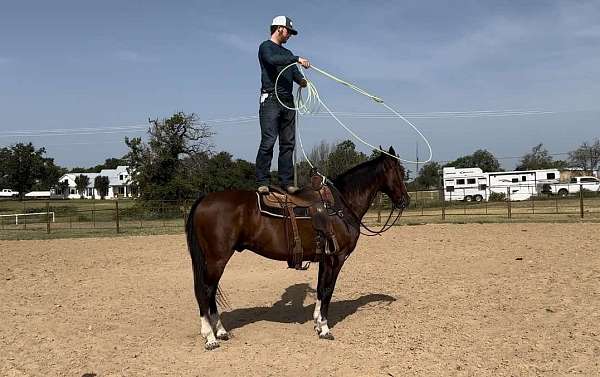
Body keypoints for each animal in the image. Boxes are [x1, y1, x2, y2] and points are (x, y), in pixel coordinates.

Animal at [185, 145, 410, 348]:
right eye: (399, 171)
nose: (405, 201)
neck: (341, 205)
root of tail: (204, 199)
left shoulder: (324, 260)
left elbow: (320, 289)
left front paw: (318, 323)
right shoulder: (336, 259)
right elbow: (328, 290)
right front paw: (325, 329)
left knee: (211, 291)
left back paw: (221, 331)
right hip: (217, 259)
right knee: (205, 291)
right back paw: (210, 337)